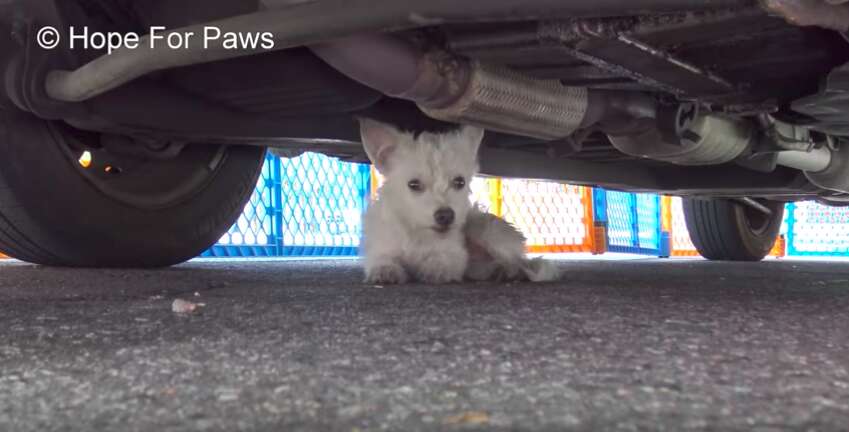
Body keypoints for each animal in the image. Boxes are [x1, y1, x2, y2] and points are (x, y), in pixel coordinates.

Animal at [356, 119, 556, 286]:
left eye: (460, 182)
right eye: (413, 184)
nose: (446, 216)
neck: (419, 233)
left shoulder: (455, 254)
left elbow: (444, 260)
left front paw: (434, 268)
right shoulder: (382, 245)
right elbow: (382, 258)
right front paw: (385, 270)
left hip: (487, 230)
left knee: (518, 261)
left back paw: (511, 272)